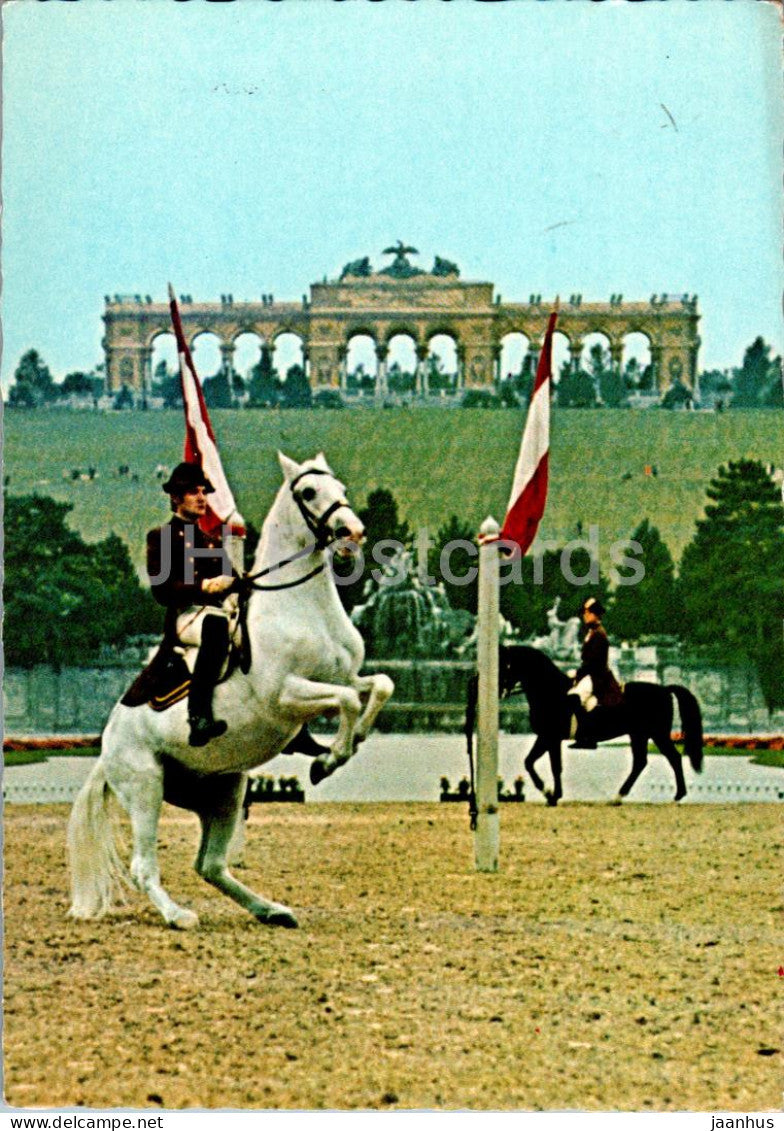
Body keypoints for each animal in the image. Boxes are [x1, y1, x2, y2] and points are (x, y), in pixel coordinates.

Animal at [67, 454, 393, 931]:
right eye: (308, 492)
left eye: (341, 489)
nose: (352, 532)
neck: (302, 608)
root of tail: (106, 746)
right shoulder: (286, 696)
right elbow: (349, 702)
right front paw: (329, 760)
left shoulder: (343, 676)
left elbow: (379, 687)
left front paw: (348, 744)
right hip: (145, 787)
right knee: (144, 867)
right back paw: (179, 915)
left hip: (224, 790)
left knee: (211, 865)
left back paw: (272, 910)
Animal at [463, 646, 701, 805]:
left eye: (505, 664)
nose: (484, 686)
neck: (549, 691)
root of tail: (664, 689)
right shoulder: (546, 737)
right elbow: (531, 762)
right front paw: (550, 793)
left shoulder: (550, 737)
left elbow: (551, 766)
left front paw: (551, 794)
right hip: (640, 734)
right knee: (643, 762)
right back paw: (621, 796)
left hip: (655, 733)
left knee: (671, 757)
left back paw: (675, 796)